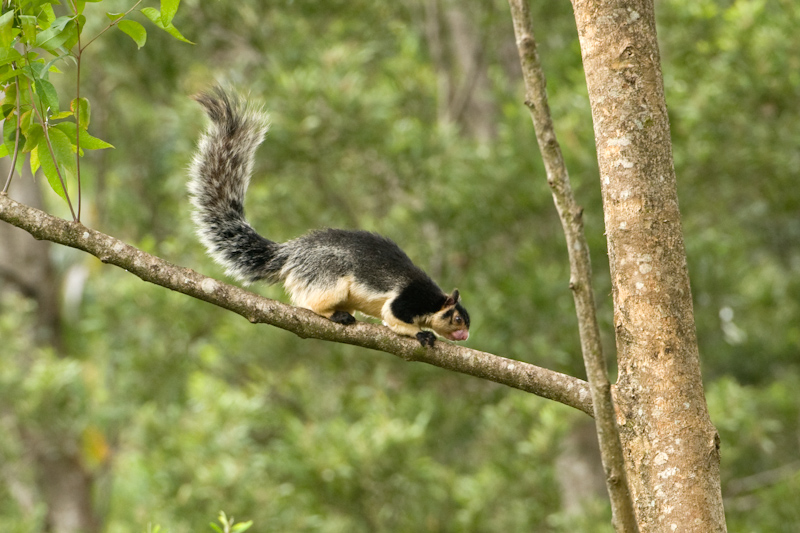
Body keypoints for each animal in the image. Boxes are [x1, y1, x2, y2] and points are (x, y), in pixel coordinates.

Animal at [189, 87, 468, 348]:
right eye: (457, 319)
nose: (465, 335)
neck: (435, 302)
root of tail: (291, 253)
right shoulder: (408, 300)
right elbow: (393, 317)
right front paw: (423, 333)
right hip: (327, 278)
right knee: (309, 302)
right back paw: (333, 315)